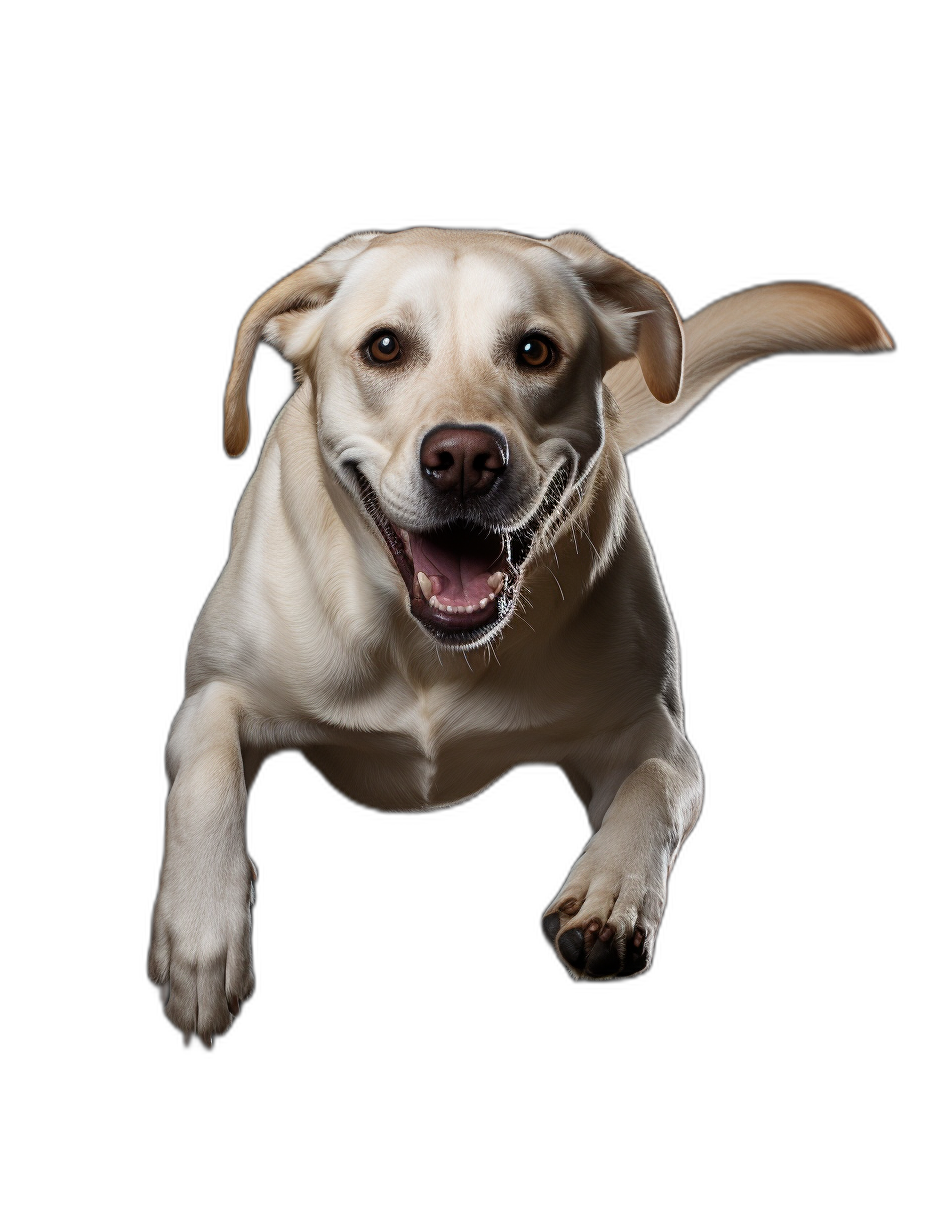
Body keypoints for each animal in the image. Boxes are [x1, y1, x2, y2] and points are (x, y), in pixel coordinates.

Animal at [146, 229, 892, 1039]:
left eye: (535, 351)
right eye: (384, 347)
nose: (464, 459)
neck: (427, 651)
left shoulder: (646, 732)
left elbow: (661, 783)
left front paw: (612, 896)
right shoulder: (214, 696)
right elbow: (209, 777)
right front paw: (202, 936)